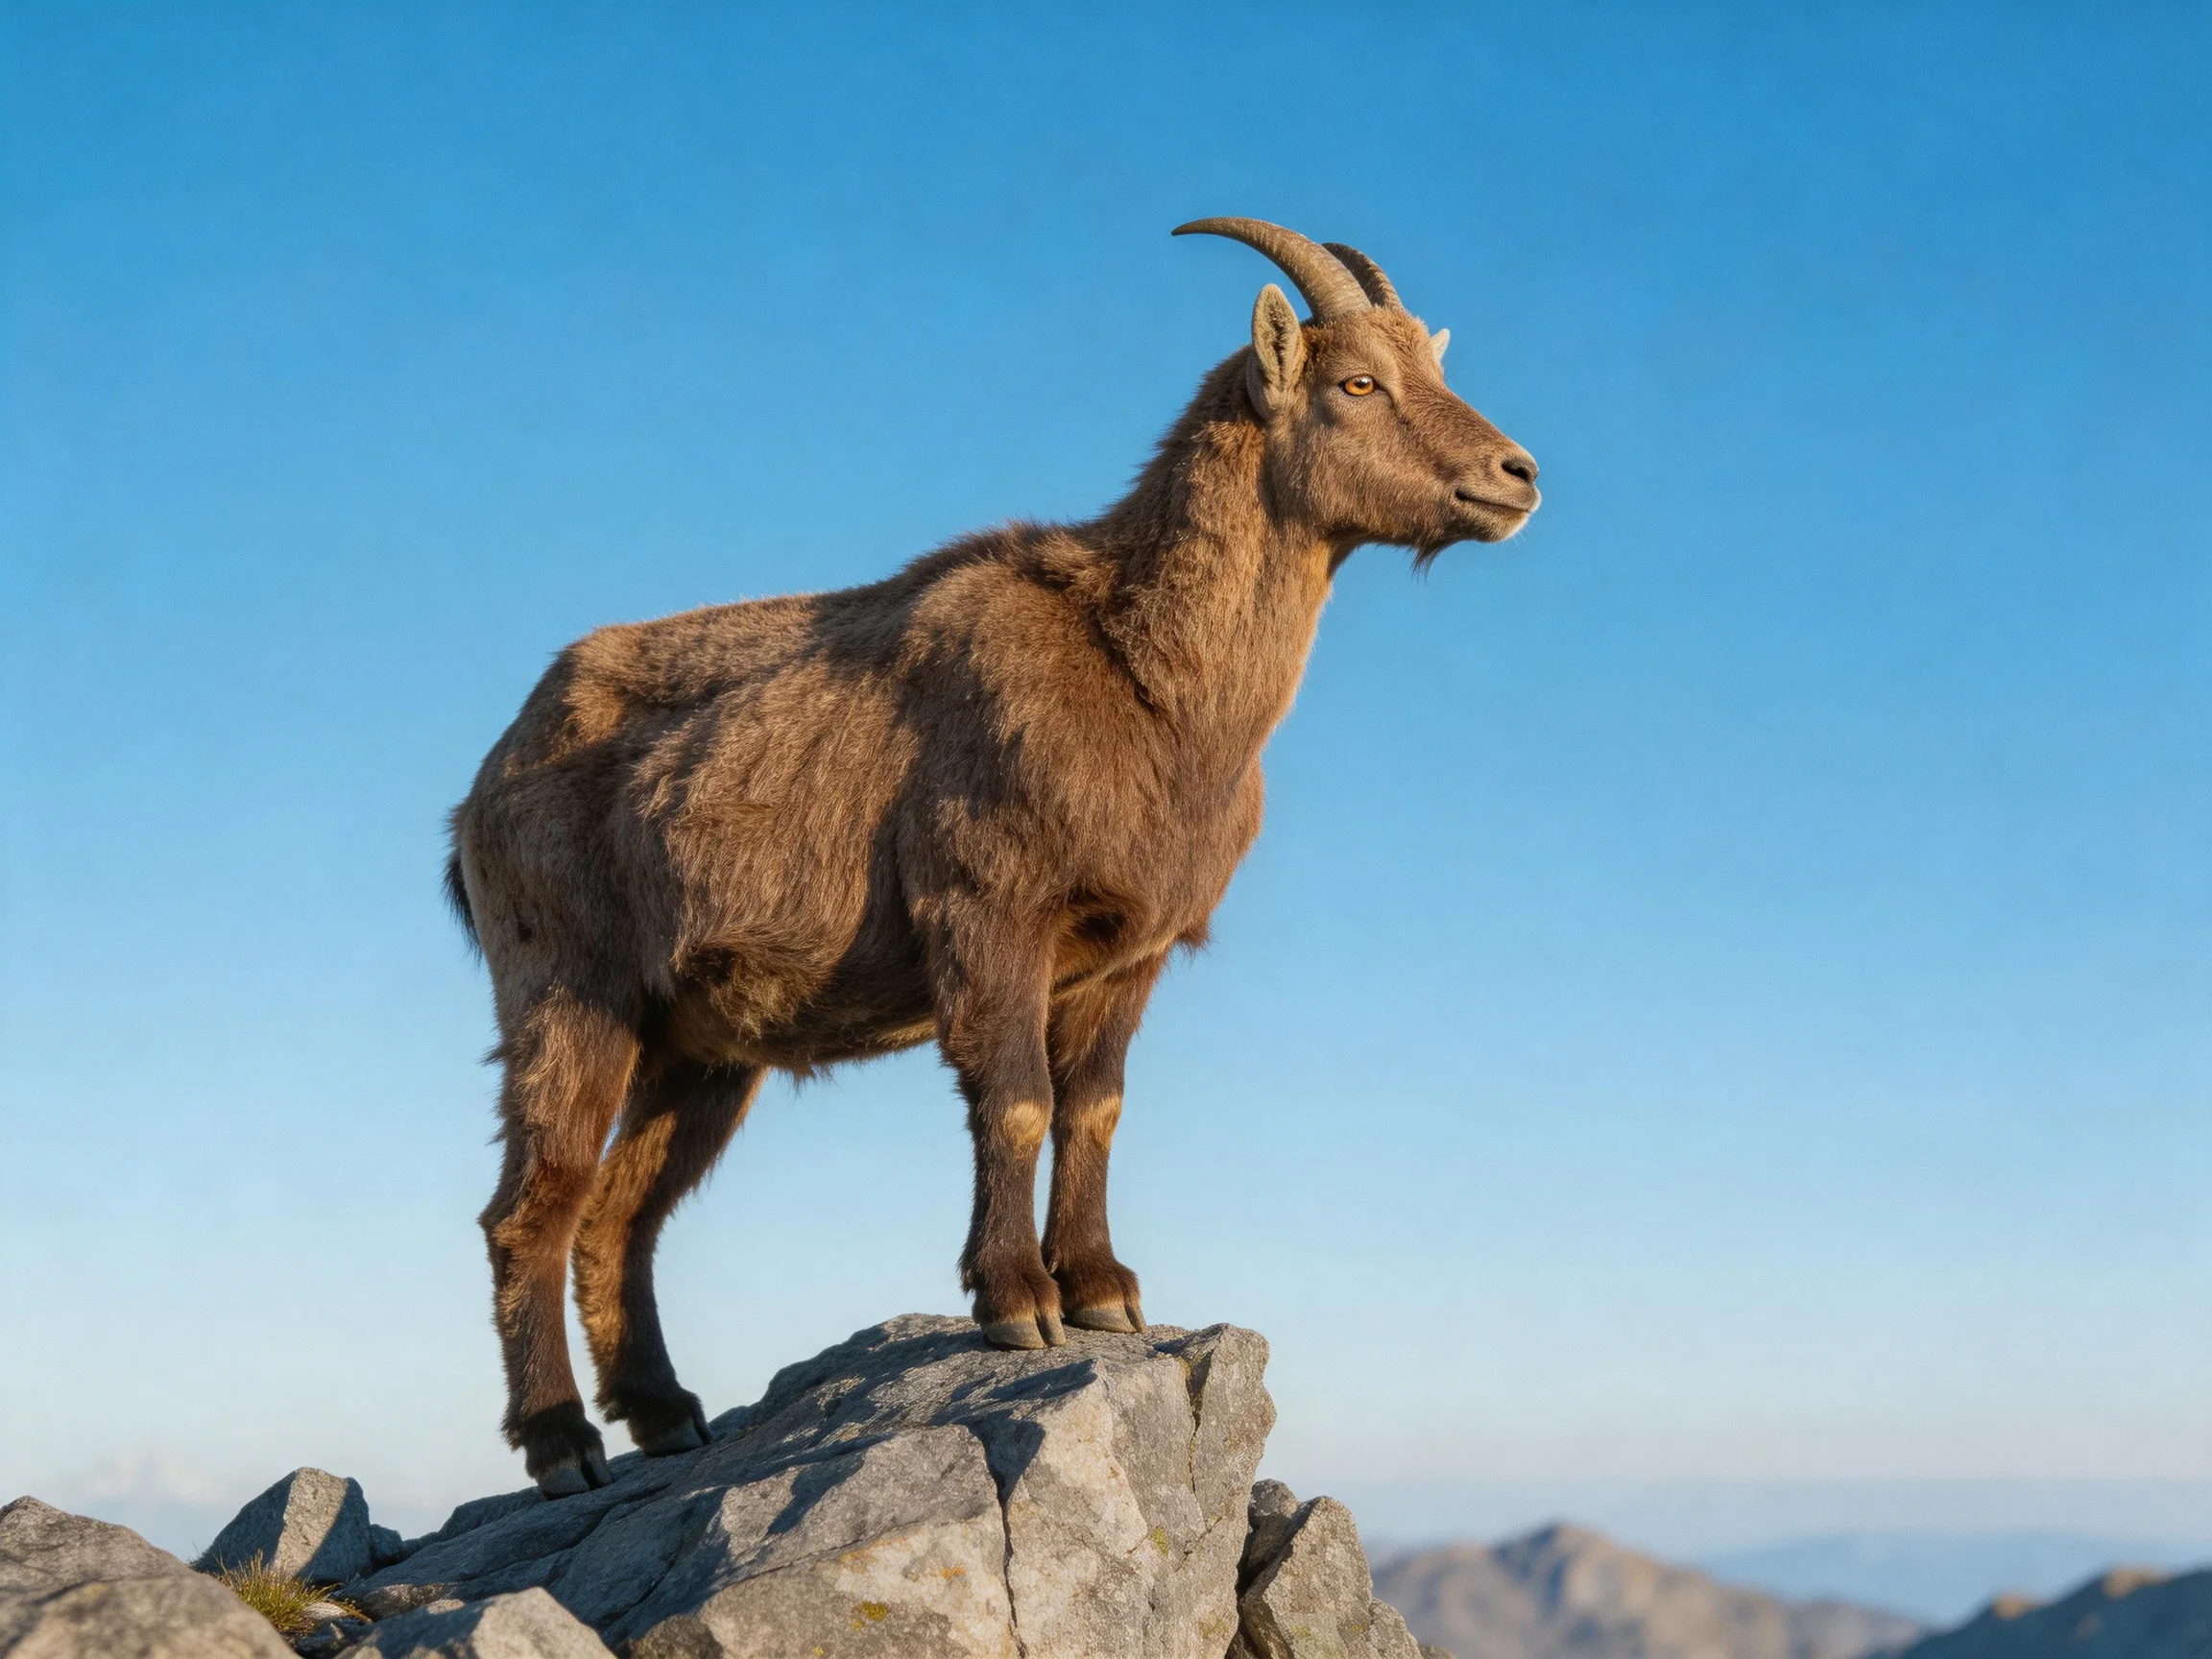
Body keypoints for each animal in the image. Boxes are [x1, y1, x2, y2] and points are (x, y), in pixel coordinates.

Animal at [446, 219, 1541, 1494]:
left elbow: (1095, 1107)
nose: (1516, 475)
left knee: (623, 1210)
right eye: (1357, 382)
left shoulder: (1125, 956)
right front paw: (1017, 1301)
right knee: (536, 1205)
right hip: (568, 993)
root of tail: (480, 788)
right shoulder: (990, 911)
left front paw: (1103, 1290)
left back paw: (665, 1412)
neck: (1144, 674)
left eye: (1430, 365)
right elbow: (1017, 1100)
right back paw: (562, 1441)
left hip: (702, 1046)